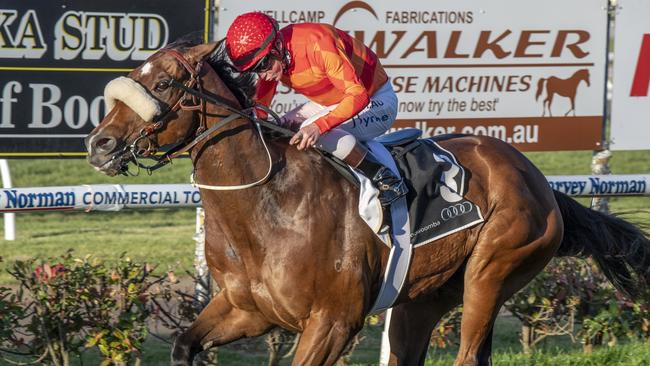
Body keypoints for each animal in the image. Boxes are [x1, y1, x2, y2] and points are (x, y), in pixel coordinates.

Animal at [86, 38, 648, 364]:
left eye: (162, 82)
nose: (99, 145)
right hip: (424, 297)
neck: (268, 206)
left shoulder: (331, 324)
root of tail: (541, 180)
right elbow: (184, 344)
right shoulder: (246, 309)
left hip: (492, 272)